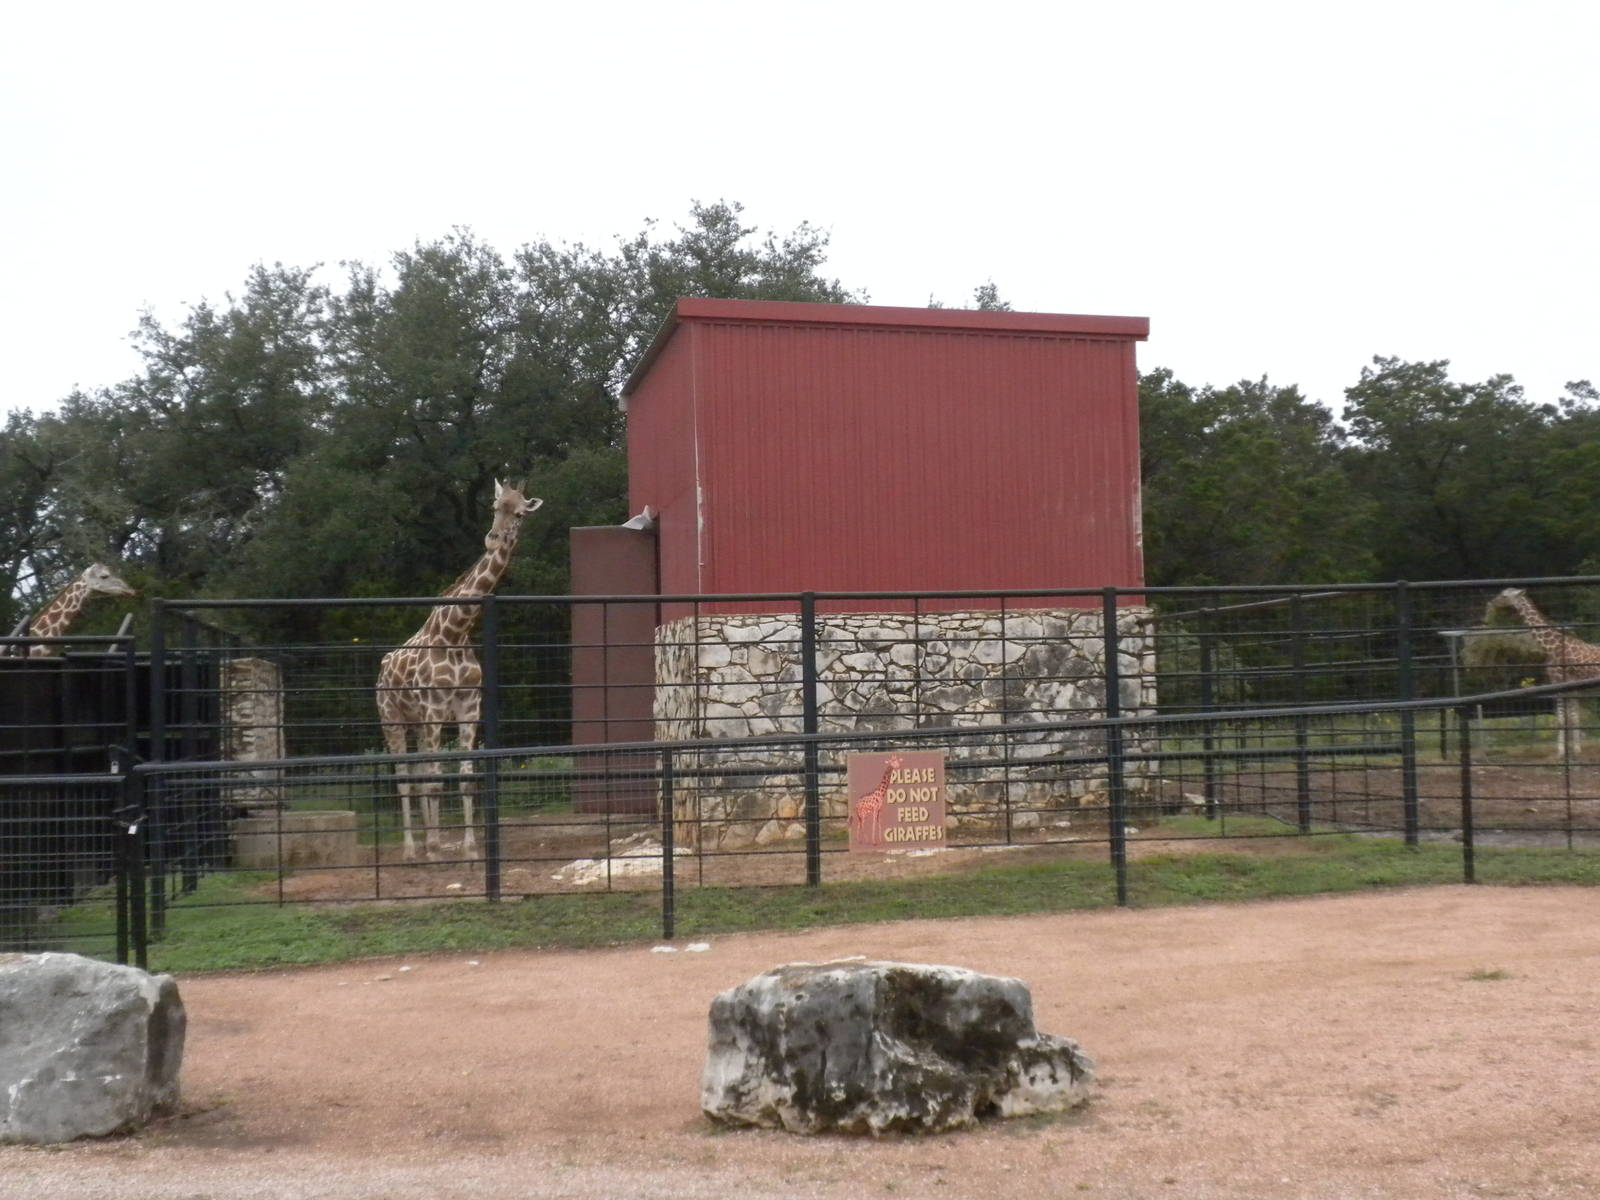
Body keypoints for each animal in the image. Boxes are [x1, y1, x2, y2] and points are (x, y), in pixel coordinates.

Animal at [376, 481, 542, 859]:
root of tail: (382, 670)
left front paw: (468, 850)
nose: (493, 539)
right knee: (404, 777)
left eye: (520, 512)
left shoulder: (468, 707)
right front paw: (436, 850)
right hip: (392, 719)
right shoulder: (435, 707)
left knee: (421, 771)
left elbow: (464, 778)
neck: (455, 631)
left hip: (417, 722)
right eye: (495, 506)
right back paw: (413, 849)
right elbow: (436, 779)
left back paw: (426, 839)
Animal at [1485, 587, 1600, 758]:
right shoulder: (1572, 685)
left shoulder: (1558, 682)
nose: (1492, 602)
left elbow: (1562, 719)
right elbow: (1574, 717)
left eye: (1504, 596)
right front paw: (1576, 751)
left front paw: (1561, 753)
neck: (1551, 646)